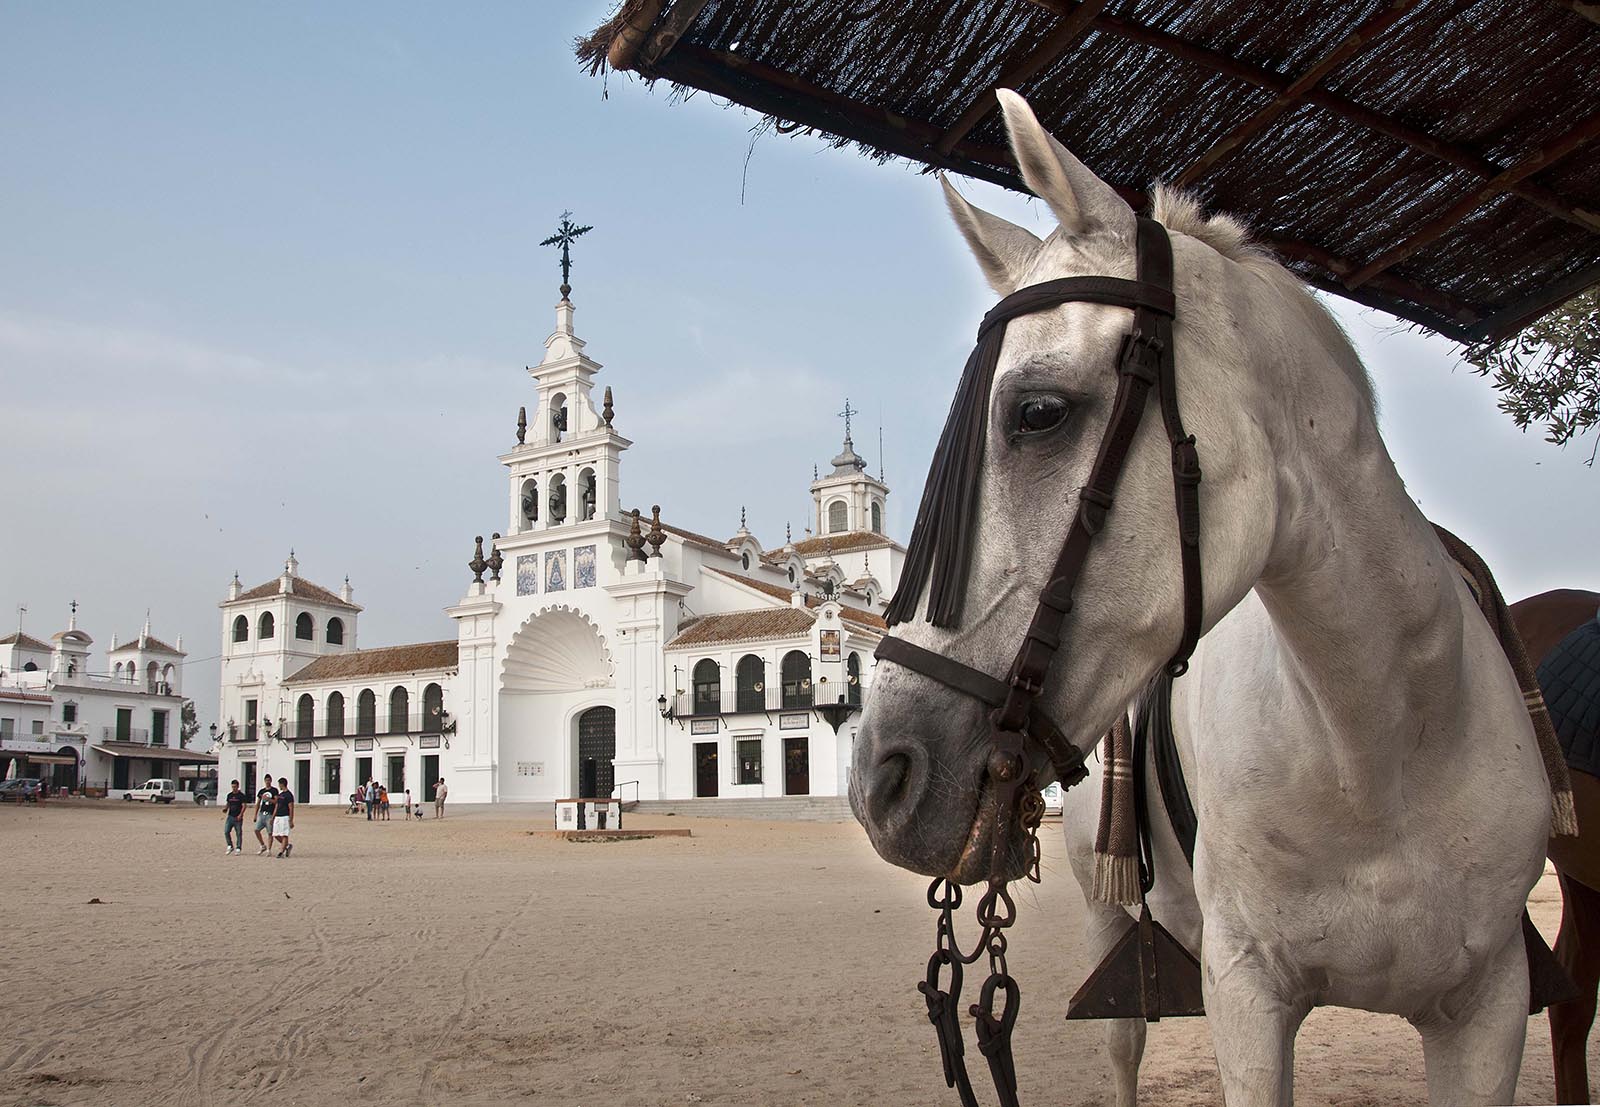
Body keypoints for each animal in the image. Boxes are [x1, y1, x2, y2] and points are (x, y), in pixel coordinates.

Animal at [850, 89, 1554, 1106]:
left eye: (1038, 412)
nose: (881, 781)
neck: (1381, 742)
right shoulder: (1246, 991)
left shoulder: (1489, 1003)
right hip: (1113, 932)